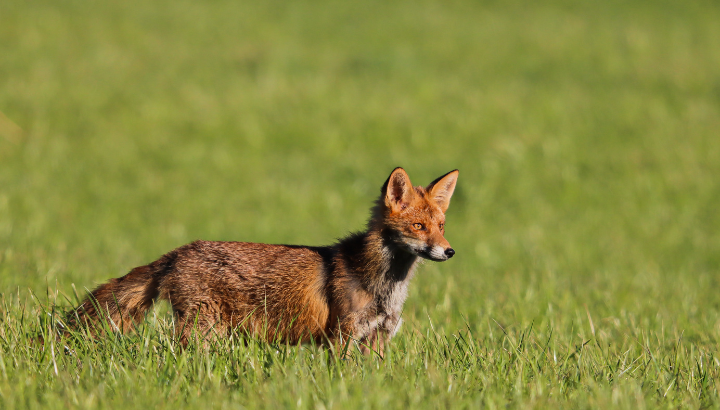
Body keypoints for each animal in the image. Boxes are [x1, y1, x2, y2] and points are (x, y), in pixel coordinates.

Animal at [67, 167, 458, 356]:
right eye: (418, 227)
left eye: (441, 227)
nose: (449, 251)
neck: (384, 285)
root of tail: (180, 250)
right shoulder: (341, 337)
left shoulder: (378, 338)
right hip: (202, 330)